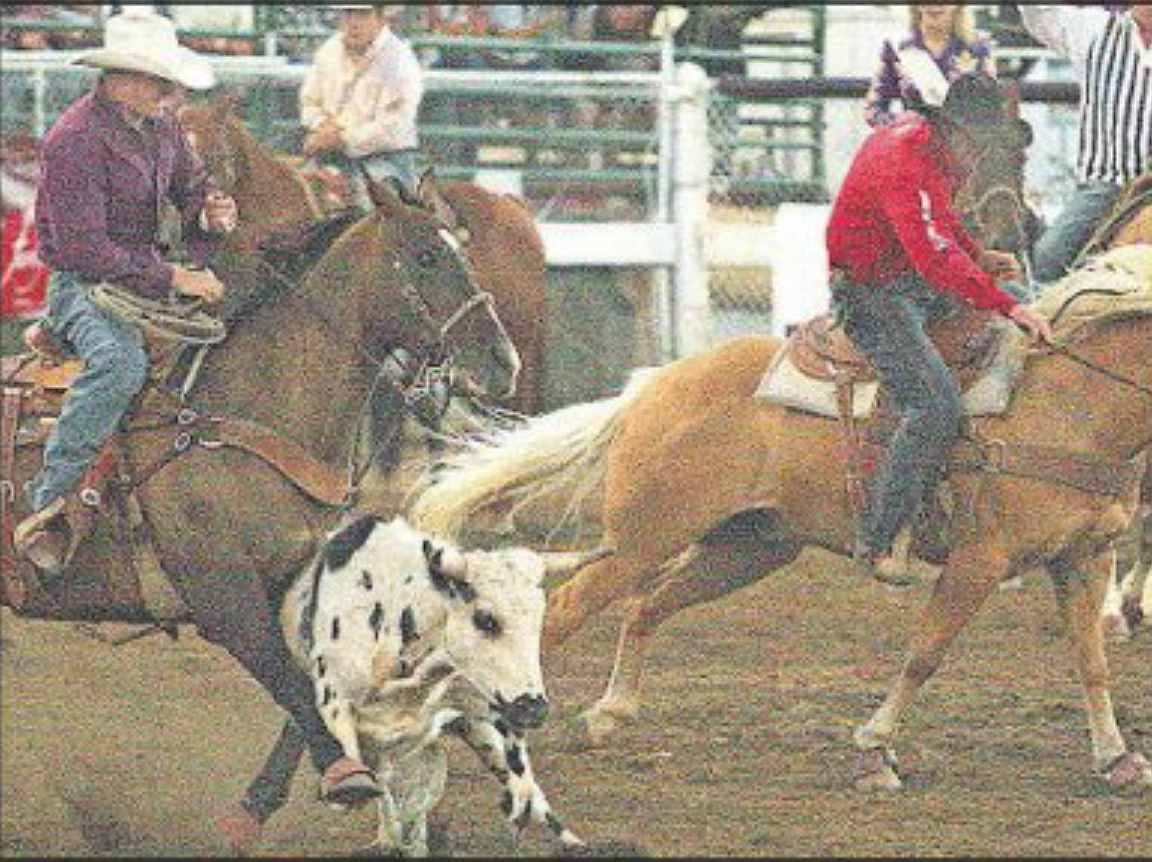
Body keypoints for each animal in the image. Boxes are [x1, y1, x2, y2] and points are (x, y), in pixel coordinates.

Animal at [1, 182, 523, 829]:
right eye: (426, 256)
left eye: (464, 251)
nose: (503, 362)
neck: (254, 410)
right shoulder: (222, 596)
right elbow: (286, 680)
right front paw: (343, 776)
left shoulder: (300, 587)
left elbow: (315, 685)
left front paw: (263, 800)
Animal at [412, 244, 1152, 792]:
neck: (1071, 404)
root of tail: (653, 386)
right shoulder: (980, 561)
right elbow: (925, 654)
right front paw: (873, 751)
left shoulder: (1085, 558)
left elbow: (1091, 661)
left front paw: (1117, 759)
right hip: (640, 541)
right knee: (566, 611)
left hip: (748, 547)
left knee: (646, 608)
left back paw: (605, 717)